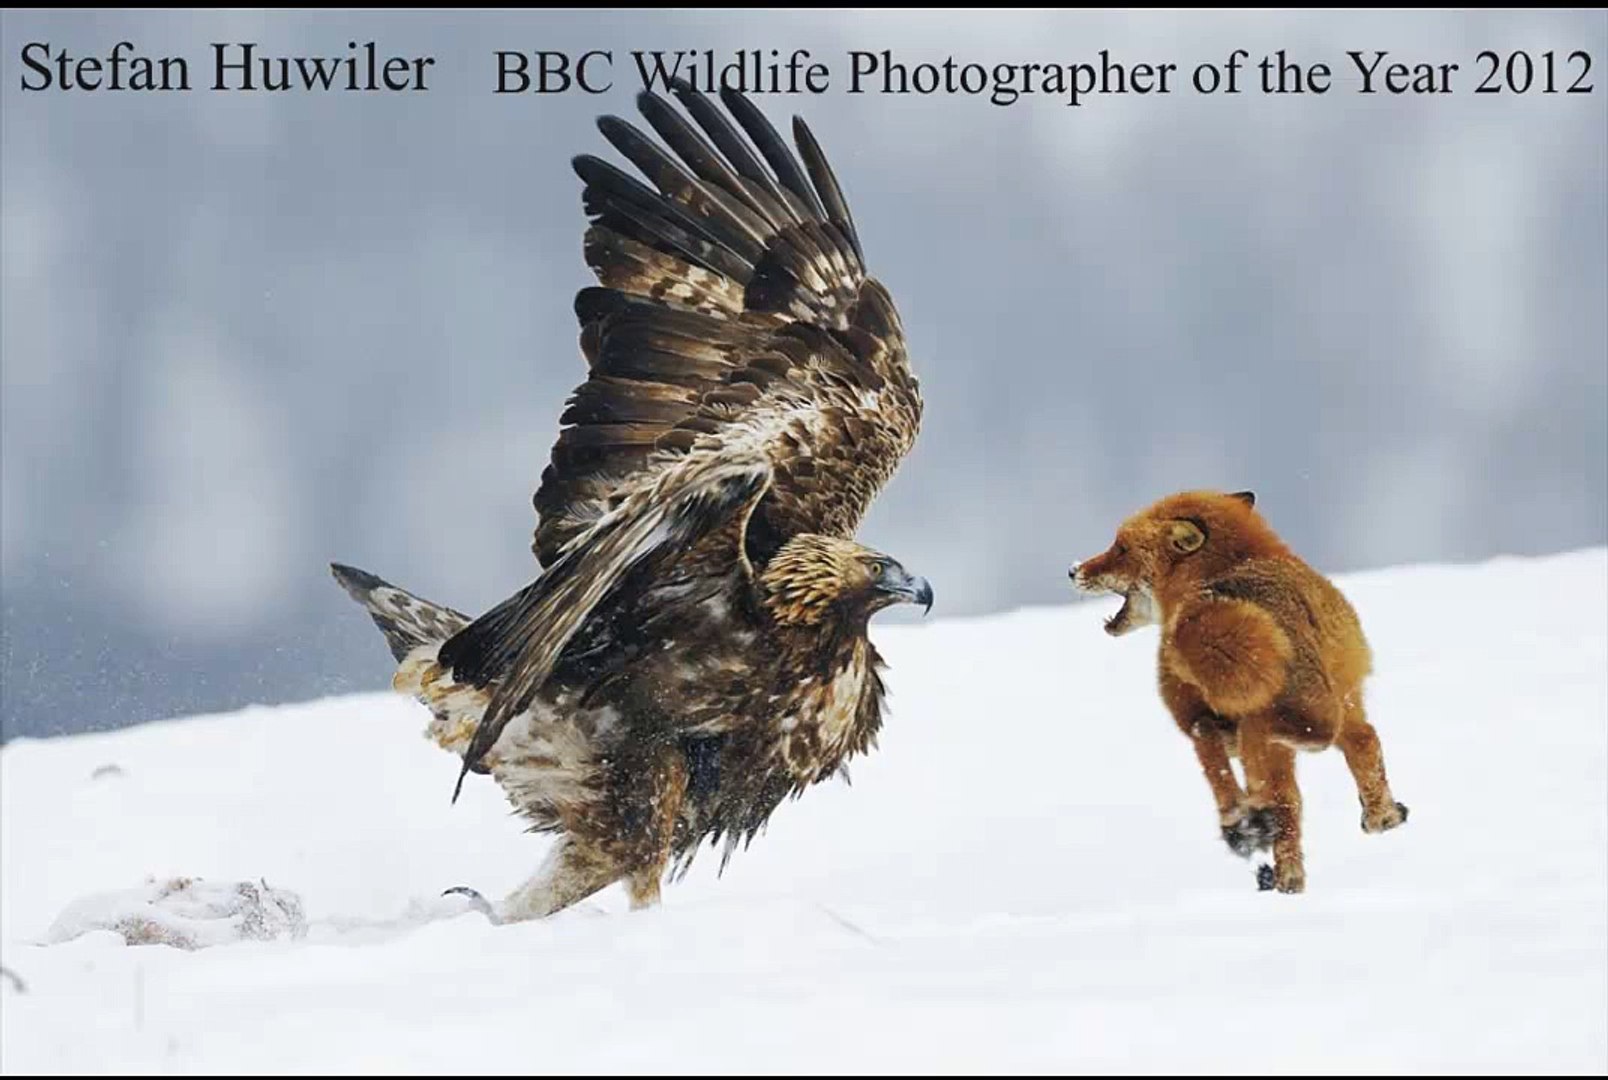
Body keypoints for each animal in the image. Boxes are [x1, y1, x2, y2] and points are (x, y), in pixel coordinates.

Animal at [1068, 489, 1408, 893]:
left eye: (1120, 548)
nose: (1073, 570)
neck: (1218, 572)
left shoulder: (1193, 717)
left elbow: (1215, 760)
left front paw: (1242, 821)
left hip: (1259, 722)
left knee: (1276, 759)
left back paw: (1251, 832)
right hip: (1341, 697)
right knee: (1355, 743)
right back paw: (1373, 820)